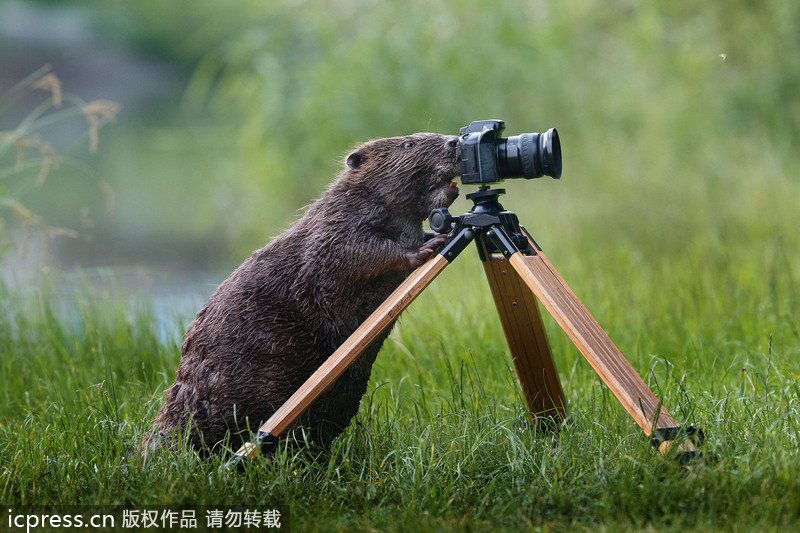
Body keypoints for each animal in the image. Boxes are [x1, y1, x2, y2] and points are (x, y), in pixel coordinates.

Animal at [141, 132, 460, 454]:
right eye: (409, 144)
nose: (454, 141)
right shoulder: (336, 224)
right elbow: (354, 251)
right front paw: (426, 247)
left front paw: (437, 233)